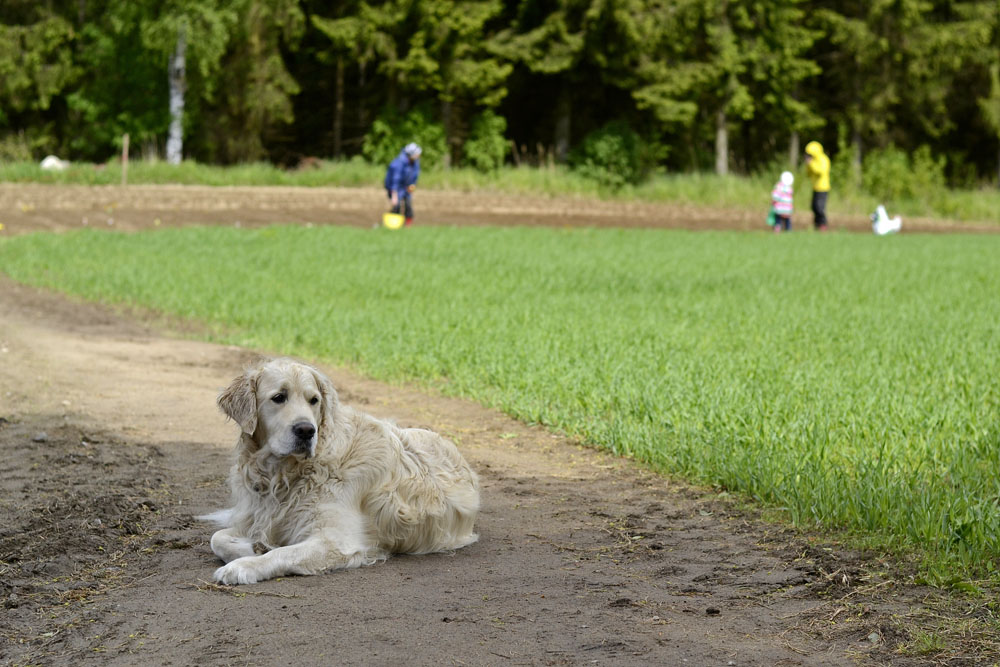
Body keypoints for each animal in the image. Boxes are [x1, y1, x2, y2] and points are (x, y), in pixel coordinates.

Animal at [201, 360, 478, 584]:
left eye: (314, 400)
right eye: (279, 397)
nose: (306, 430)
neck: (285, 474)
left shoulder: (335, 541)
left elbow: (282, 553)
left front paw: (245, 565)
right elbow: (217, 538)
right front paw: (254, 546)